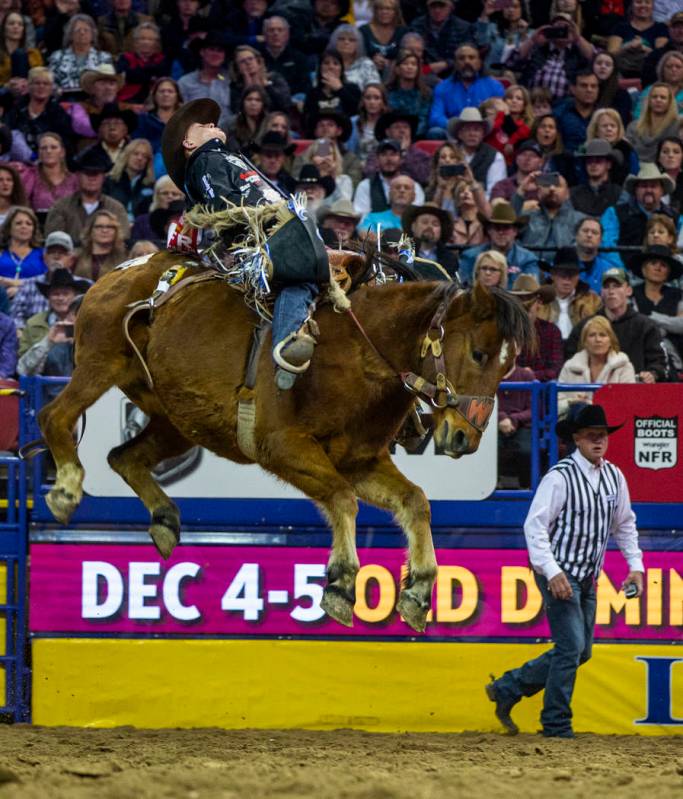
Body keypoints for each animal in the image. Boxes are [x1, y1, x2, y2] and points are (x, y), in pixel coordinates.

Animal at [38, 250, 536, 632]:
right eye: (479, 353)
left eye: (508, 365)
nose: (465, 436)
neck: (360, 349)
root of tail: (121, 271)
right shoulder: (282, 447)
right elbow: (341, 498)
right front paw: (340, 583)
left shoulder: (359, 459)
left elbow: (414, 501)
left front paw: (418, 589)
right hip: (99, 364)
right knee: (54, 417)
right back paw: (65, 489)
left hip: (176, 423)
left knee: (123, 456)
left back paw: (163, 519)